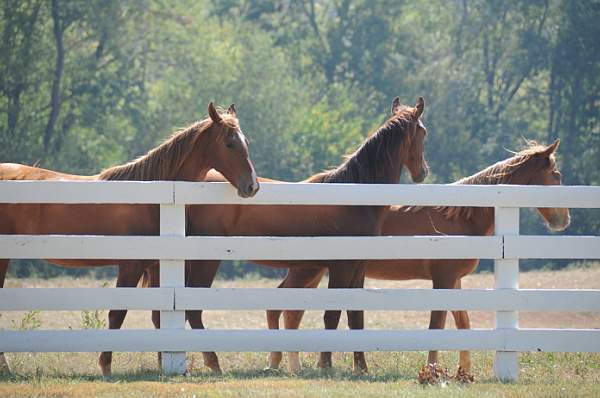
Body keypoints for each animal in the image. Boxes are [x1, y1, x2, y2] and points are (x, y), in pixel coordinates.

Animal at [0, 102, 258, 374]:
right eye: (229, 143)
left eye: (246, 142)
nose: (252, 186)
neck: (151, 197)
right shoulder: (130, 266)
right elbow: (118, 313)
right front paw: (105, 366)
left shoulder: (155, 267)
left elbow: (158, 316)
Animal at [266, 139, 568, 376]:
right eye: (555, 175)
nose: (563, 220)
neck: (459, 216)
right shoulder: (443, 280)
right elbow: (437, 324)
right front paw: (432, 370)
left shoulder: (454, 281)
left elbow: (463, 322)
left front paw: (464, 372)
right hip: (308, 270)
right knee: (283, 310)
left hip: (315, 272)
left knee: (290, 313)